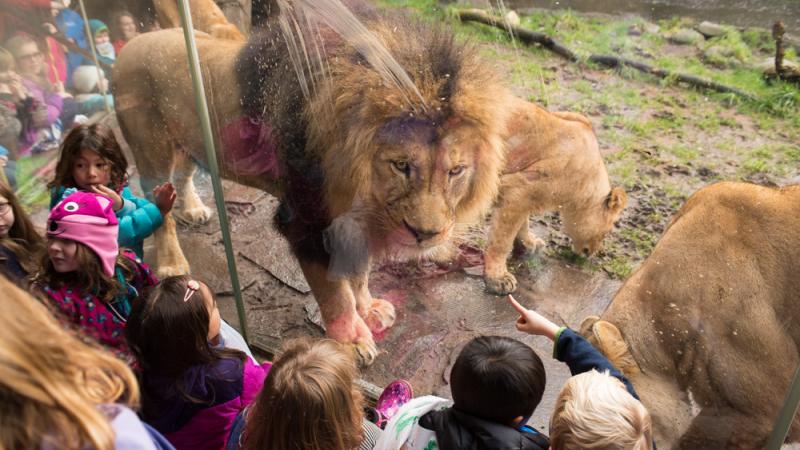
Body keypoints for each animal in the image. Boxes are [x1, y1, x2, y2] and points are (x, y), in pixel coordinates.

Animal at [111, 0, 512, 366]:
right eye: (401, 165)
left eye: (456, 171)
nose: (426, 235)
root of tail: (131, 44)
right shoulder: (307, 222)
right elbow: (336, 292)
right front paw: (352, 341)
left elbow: (359, 274)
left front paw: (370, 309)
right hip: (151, 148)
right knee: (160, 207)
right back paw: (172, 263)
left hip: (185, 142)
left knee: (184, 177)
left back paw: (194, 208)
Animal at [484, 97, 628, 296]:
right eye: (607, 231)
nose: (593, 253)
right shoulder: (518, 190)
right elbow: (502, 241)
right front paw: (498, 279)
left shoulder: (522, 195)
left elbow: (522, 223)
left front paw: (529, 244)